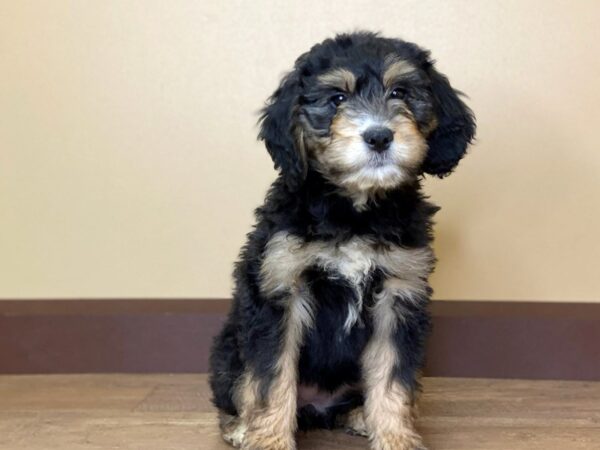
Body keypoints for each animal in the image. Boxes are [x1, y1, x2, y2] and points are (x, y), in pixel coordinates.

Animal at [209, 32, 476, 450]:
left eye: (401, 91)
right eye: (336, 98)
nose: (379, 136)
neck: (354, 212)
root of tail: (319, 408)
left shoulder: (398, 293)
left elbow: (393, 378)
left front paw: (396, 438)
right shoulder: (281, 290)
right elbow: (270, 379)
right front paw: (269, 440)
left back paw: (361, 416)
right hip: (227, 351)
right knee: (238, 389)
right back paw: (239, 426)